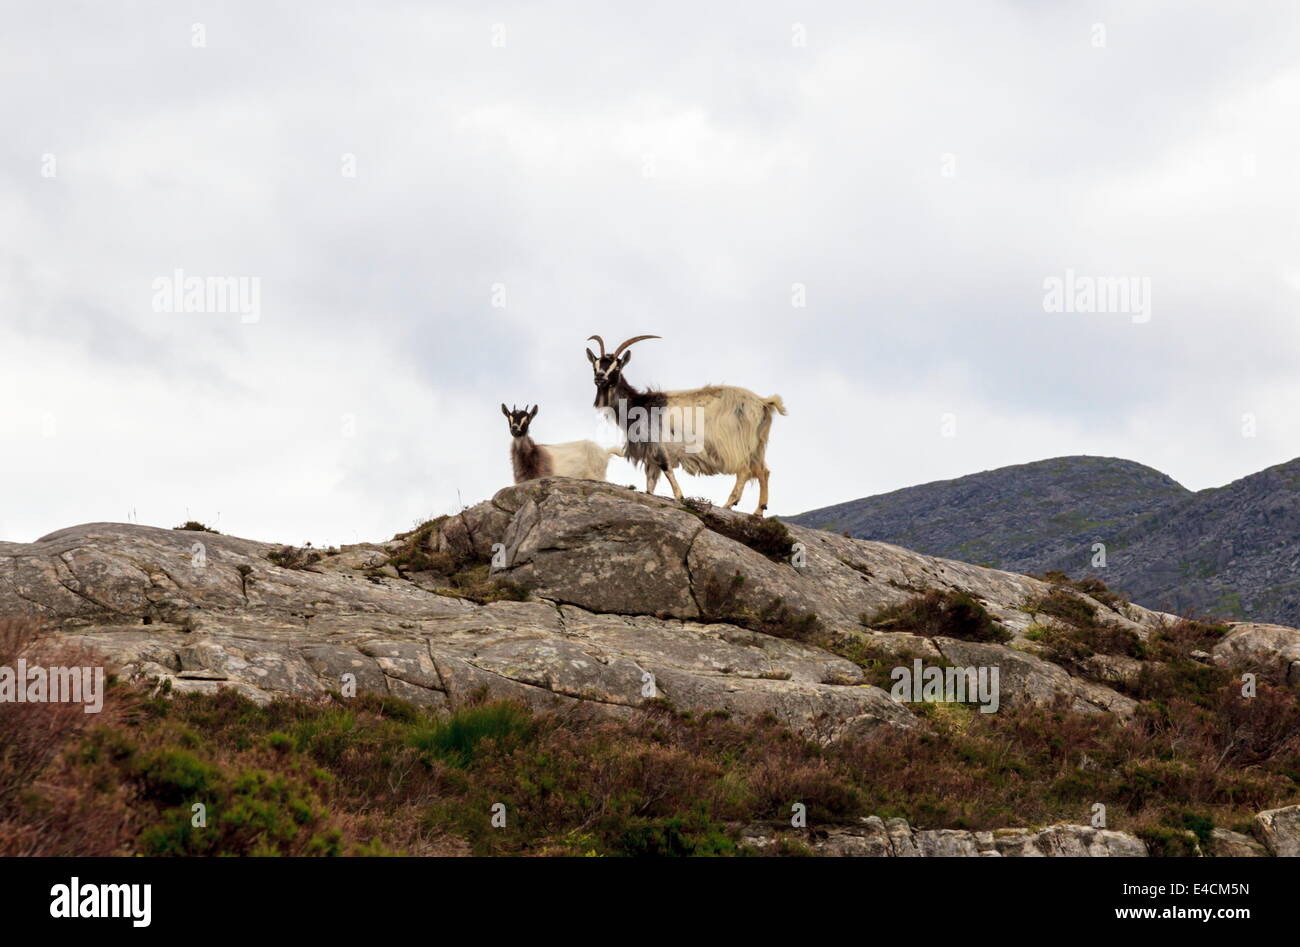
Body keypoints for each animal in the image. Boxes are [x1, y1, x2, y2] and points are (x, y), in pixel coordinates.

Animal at [585, 335, 786, 515]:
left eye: (617, 366)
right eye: (595, 365)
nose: (600, 377)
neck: (638, 404)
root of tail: (763, 402)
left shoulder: (656, 444)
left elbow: (666, 468)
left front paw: (680, 497)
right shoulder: (649, 453)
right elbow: (650, 483)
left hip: (737, 443)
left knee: (744, 469)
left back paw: (729, 504)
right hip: (757, 444)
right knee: (763, 471)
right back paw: (759, 511)